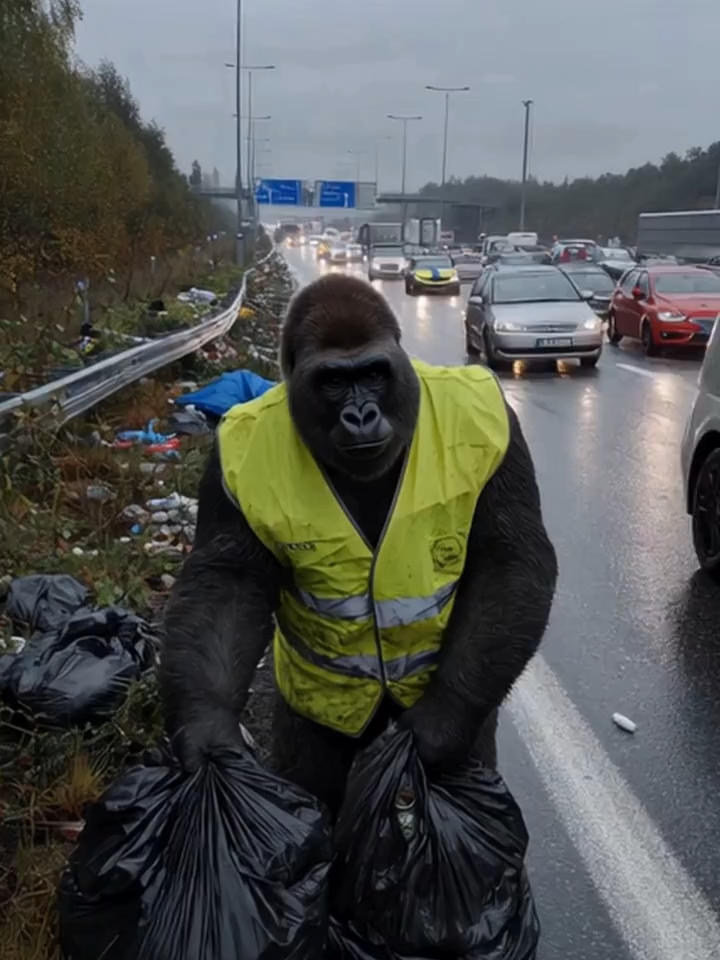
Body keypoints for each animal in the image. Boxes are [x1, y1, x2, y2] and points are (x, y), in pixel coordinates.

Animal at [159, 273, 558, 817]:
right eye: (332, 381)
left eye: (372, 373)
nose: (361, 414)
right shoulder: (225, 467)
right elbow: (228, 584)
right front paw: (207, 734)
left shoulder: (503, 431)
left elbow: (511, 557)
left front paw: (440, 725)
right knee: (311, 761)